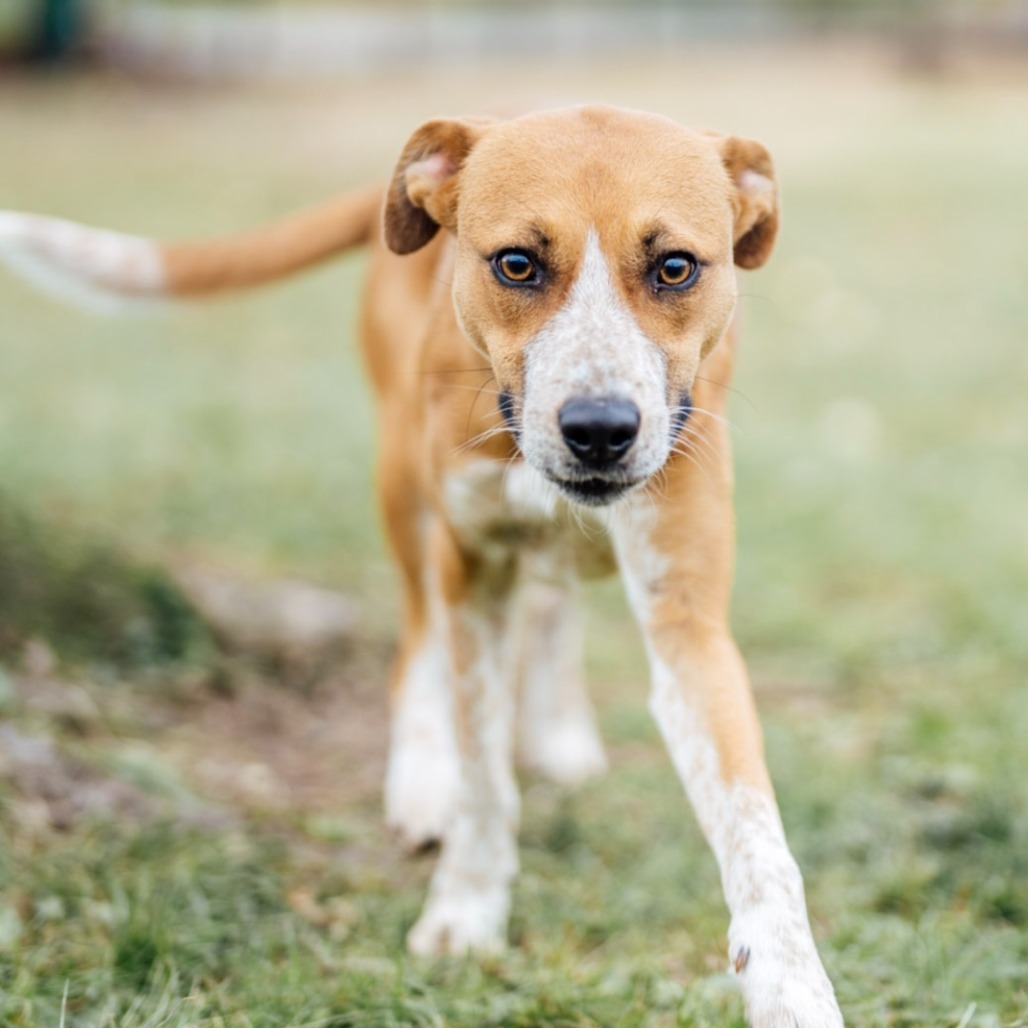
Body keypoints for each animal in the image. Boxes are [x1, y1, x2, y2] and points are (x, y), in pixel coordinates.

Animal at [0, 106, 842, 1028]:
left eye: (676, 267)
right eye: (516, 263)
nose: (599, 430)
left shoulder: (687, 613)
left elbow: (755, 829)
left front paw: (791, 987)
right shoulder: (470, 567)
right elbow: (482, 773)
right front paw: (466, 907)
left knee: (554, 608)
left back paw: (559, 727)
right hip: (402, 487)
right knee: (417, 642)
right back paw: (420, 776)